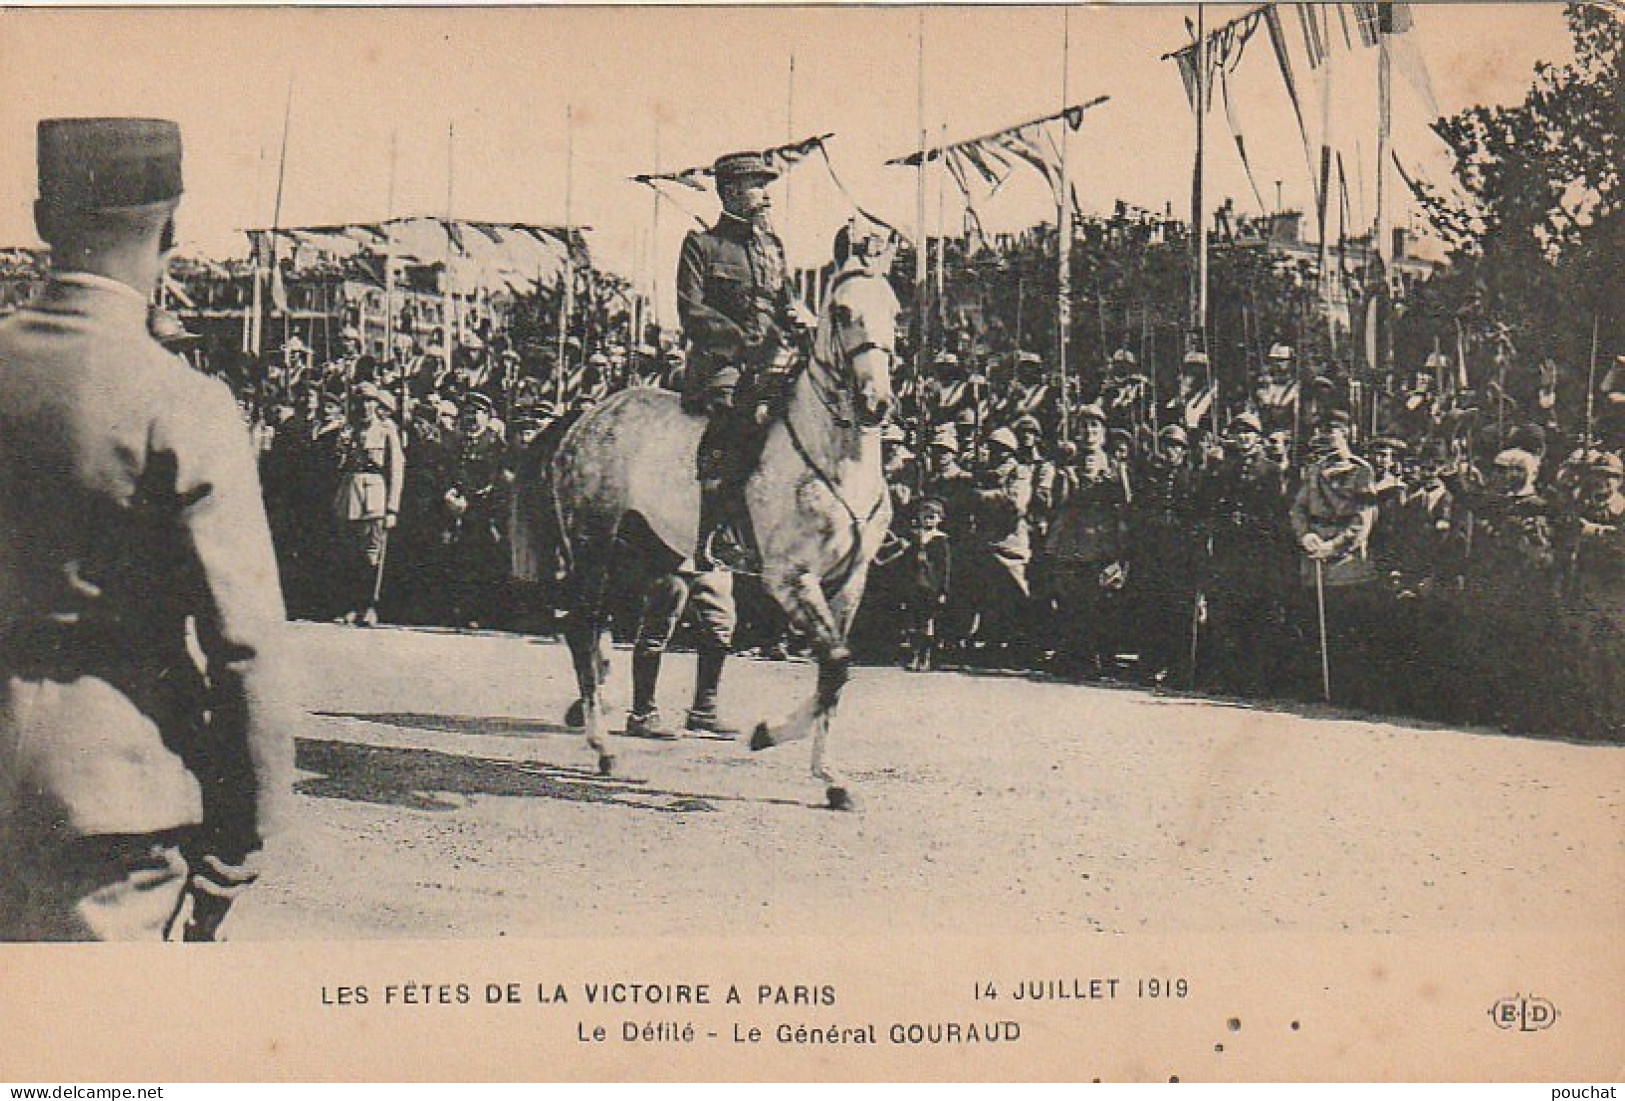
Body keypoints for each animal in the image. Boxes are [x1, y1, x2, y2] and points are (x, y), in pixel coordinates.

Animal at [520, 248, 903, 811]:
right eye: (841, 311)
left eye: (895, 312)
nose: (876, 403)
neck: (835, 460)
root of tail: (585, 417)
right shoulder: (791, 578)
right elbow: (836, 662)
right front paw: (769, 735)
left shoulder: (850, 581)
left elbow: (833, 672)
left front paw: (830, 777)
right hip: (594, 546)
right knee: (581, 626)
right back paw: (604, 746)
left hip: (643, 554)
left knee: (607, 630)